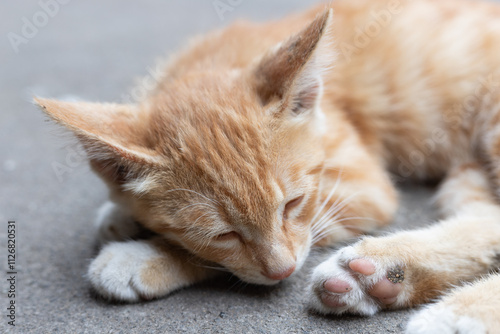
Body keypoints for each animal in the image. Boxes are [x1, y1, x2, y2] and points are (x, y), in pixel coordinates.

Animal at [37, 0, 500, 332]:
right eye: (223, 233)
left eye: (292, 205)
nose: (284, 271)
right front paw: (120, 213)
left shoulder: (361, 187)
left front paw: (147, 256)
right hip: (467, 176)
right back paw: (380, 276)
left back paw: (456, 313)